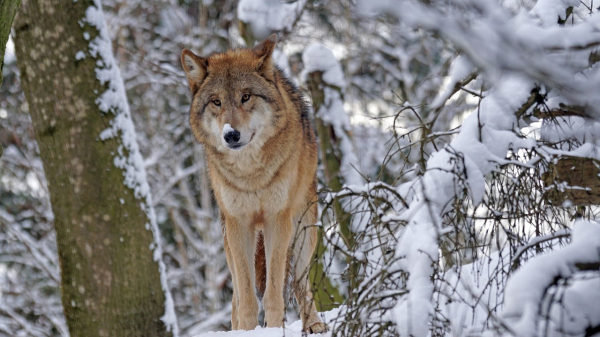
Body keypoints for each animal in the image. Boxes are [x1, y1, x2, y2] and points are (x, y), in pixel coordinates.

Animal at [180, 35, 328, 332]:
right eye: (216, 102)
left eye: (245, 97)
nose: (231, 135)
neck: (251, 175)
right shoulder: (239, 224)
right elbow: (247, 296)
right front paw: (247, 330)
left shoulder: (276, 219)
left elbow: (273, 291)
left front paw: (273, 327)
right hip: (228, 240)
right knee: (236, 296)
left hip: (305, 232)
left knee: (299, 283)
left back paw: (313, 324)